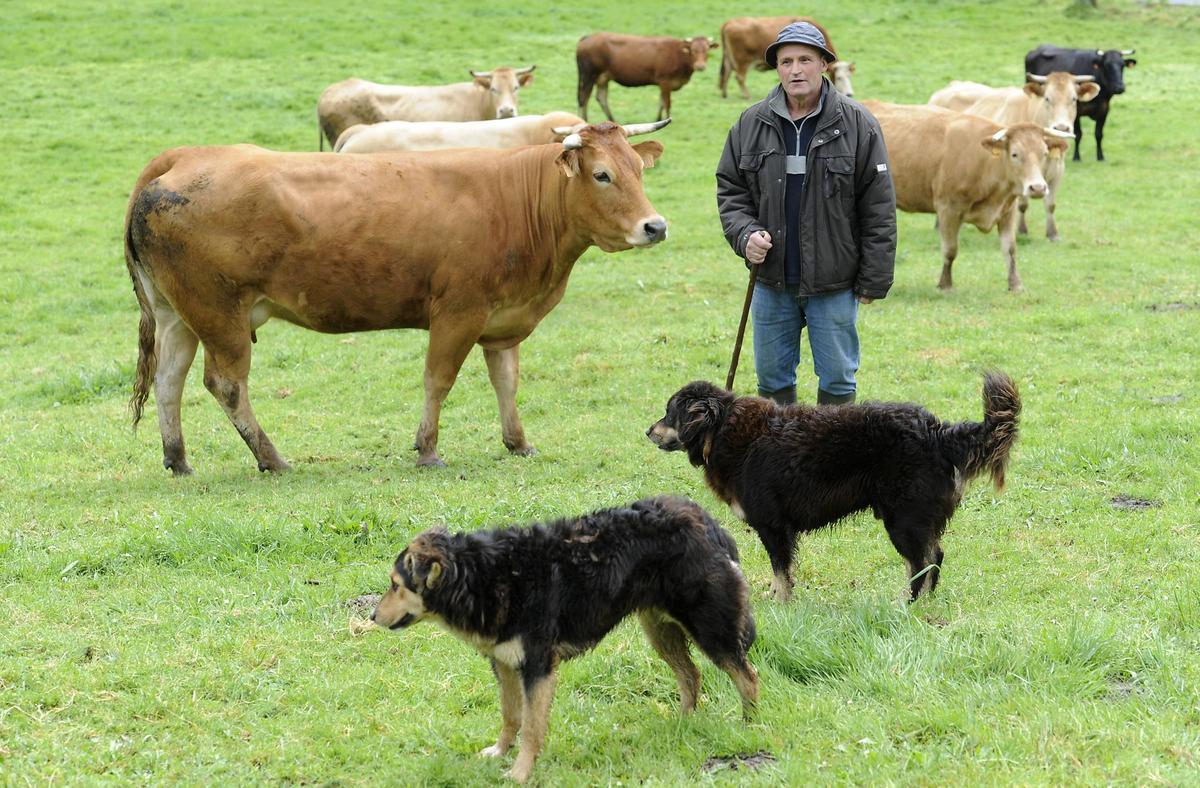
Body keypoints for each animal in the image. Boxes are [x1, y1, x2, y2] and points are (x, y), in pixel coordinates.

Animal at [123, 121, 670, 475]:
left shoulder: (502, 320)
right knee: (226, 384)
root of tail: (183, 157)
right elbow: (438, 380)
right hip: (220, 315)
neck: (515, 199)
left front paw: (518, 442)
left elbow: (506, 382)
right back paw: (271, 458)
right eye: (602, 174)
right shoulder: (458, 313)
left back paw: (178, 459)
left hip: (179, 316)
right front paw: (428, 450)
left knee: (169, 382)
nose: (656, 226)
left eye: (638, 170)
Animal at [575, 33, 717, 122]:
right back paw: (584, 120)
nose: (700, 66)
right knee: (584, 98)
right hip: (589, 75)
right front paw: (668, 119)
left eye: (707, 50)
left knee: (601, 97)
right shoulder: (665, 80)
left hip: (603, 77)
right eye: (693, 50)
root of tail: (588, 37)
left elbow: (661, 102)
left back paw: (612, 119)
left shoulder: (663, 84)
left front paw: (658, 119)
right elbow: (667, 103)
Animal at [717, 16, 854, 99]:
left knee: (726, 74)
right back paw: (747, 96)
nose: (849, 94)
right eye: (839, 77)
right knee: (739, 77)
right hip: (742, 61)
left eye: (849, 76)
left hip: (729, 59)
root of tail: (729, 22)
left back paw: (724, 94)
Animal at [863, 101, 1071, 292]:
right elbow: (950, 250)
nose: (1037, 188)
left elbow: (1010, 249)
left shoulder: (1007, 210)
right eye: (1015, 154)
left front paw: (1016, 284)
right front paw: (945, 284)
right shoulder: (948, 208)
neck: (986, 163)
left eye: (1044, 153)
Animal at [929, 72, 1099, 239]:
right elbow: (1023, 204)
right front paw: (1022, 230)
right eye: (1047, 98)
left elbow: (1050, 204)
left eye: (1074, 99)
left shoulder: (1057, 171)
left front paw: (1053, 234)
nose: (1062, 127)